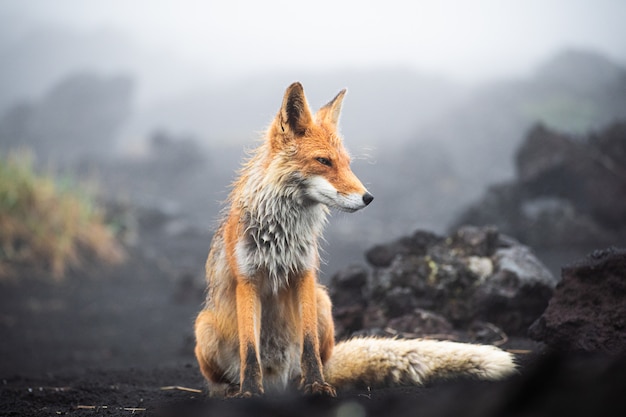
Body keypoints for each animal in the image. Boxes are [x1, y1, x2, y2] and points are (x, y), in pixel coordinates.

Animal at [193, 82, 516, 396]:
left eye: (347, 163)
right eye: (323, 161)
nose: (368, 197)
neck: (281, 236)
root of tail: (277, 381)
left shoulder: (304, 273)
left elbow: (309, 345)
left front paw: (316, 385)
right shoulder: (247, 280)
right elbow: (250, 350)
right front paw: (249, 391)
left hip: (323, 302)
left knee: (317, 360)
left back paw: (303, 383)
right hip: (204, 327)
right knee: (220, 379)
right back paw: (231, 390)